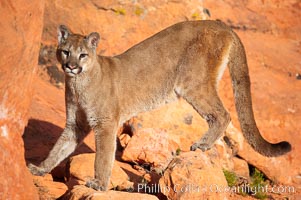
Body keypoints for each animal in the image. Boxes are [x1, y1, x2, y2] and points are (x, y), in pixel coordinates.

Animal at [27, 20, 288, 191]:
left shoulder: (105, 124)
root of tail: (223, 25)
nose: (71, 66)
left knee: (223, 114)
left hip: (192, 83)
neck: (78, 83)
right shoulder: (75, 124)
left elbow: (102, 156)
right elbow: (58, 148)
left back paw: (202, 145)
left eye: (82, 55)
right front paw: (39, 169)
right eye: (65, 52)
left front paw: (99, 184)